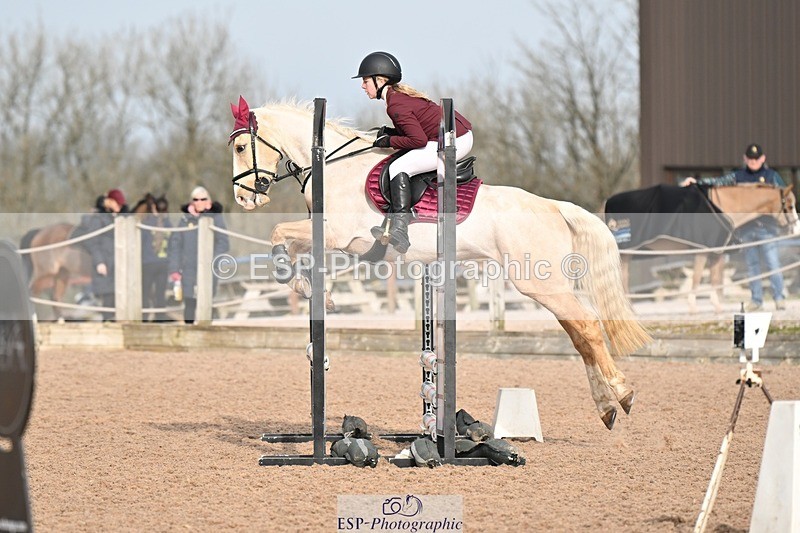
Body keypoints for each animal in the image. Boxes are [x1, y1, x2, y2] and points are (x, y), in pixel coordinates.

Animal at [228, 100, 651, 430]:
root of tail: (554, 206)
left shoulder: (337, 235)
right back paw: (606, 408)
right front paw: (312, 289)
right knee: (579, 334)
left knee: (588, 327)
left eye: (240, 147)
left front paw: (297, 279)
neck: (335, 168)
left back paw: (623, 394)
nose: (244, 198)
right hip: (547, 285)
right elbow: (289, 245)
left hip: (540, 282)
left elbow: (279, 234)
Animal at [605, 183, 798, 313]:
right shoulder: (702, 249)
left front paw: (717, 307)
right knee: (623, 279)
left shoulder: (715, 250)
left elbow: (714, 279)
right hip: (627, 251)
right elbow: (697, 278)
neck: (721, 206)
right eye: (789, 205)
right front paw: (693, 308)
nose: (796, 228)